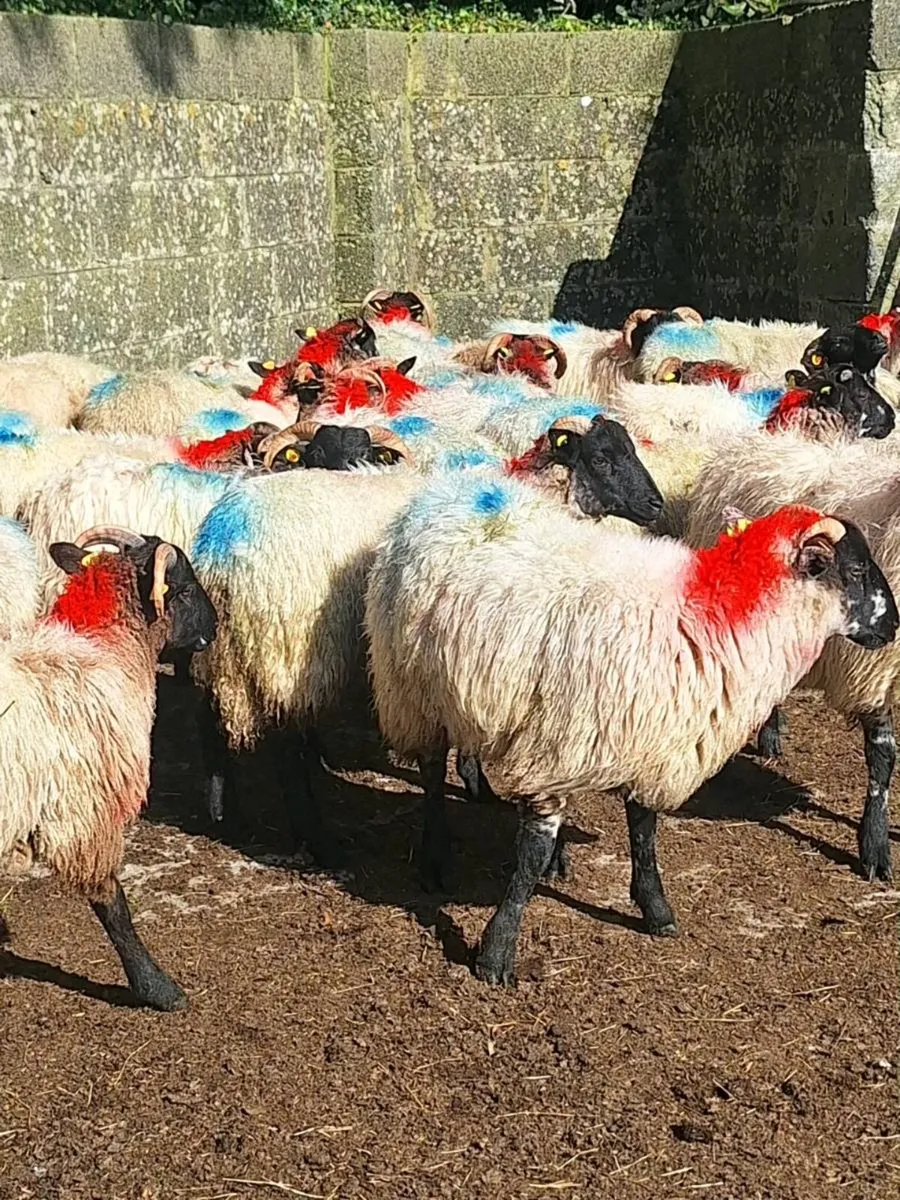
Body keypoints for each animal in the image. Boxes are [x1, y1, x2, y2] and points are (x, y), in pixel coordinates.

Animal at [0, 525, 217, 1010]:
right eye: (186, 588)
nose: (215, 626)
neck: (103, 652)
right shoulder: (83, 813)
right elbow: (112, 902)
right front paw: (157, 987)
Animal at [365, 481, 897, 981]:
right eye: (855, 571)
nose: (892, 625)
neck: (714, 614)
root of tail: (448, 491)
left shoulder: (651, 742)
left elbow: (643, 830)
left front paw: (654, 907)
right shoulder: (554, 749)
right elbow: (531, 854)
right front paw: (496, 951)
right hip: (413, 691)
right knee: (431, 773)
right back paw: (435, 857)